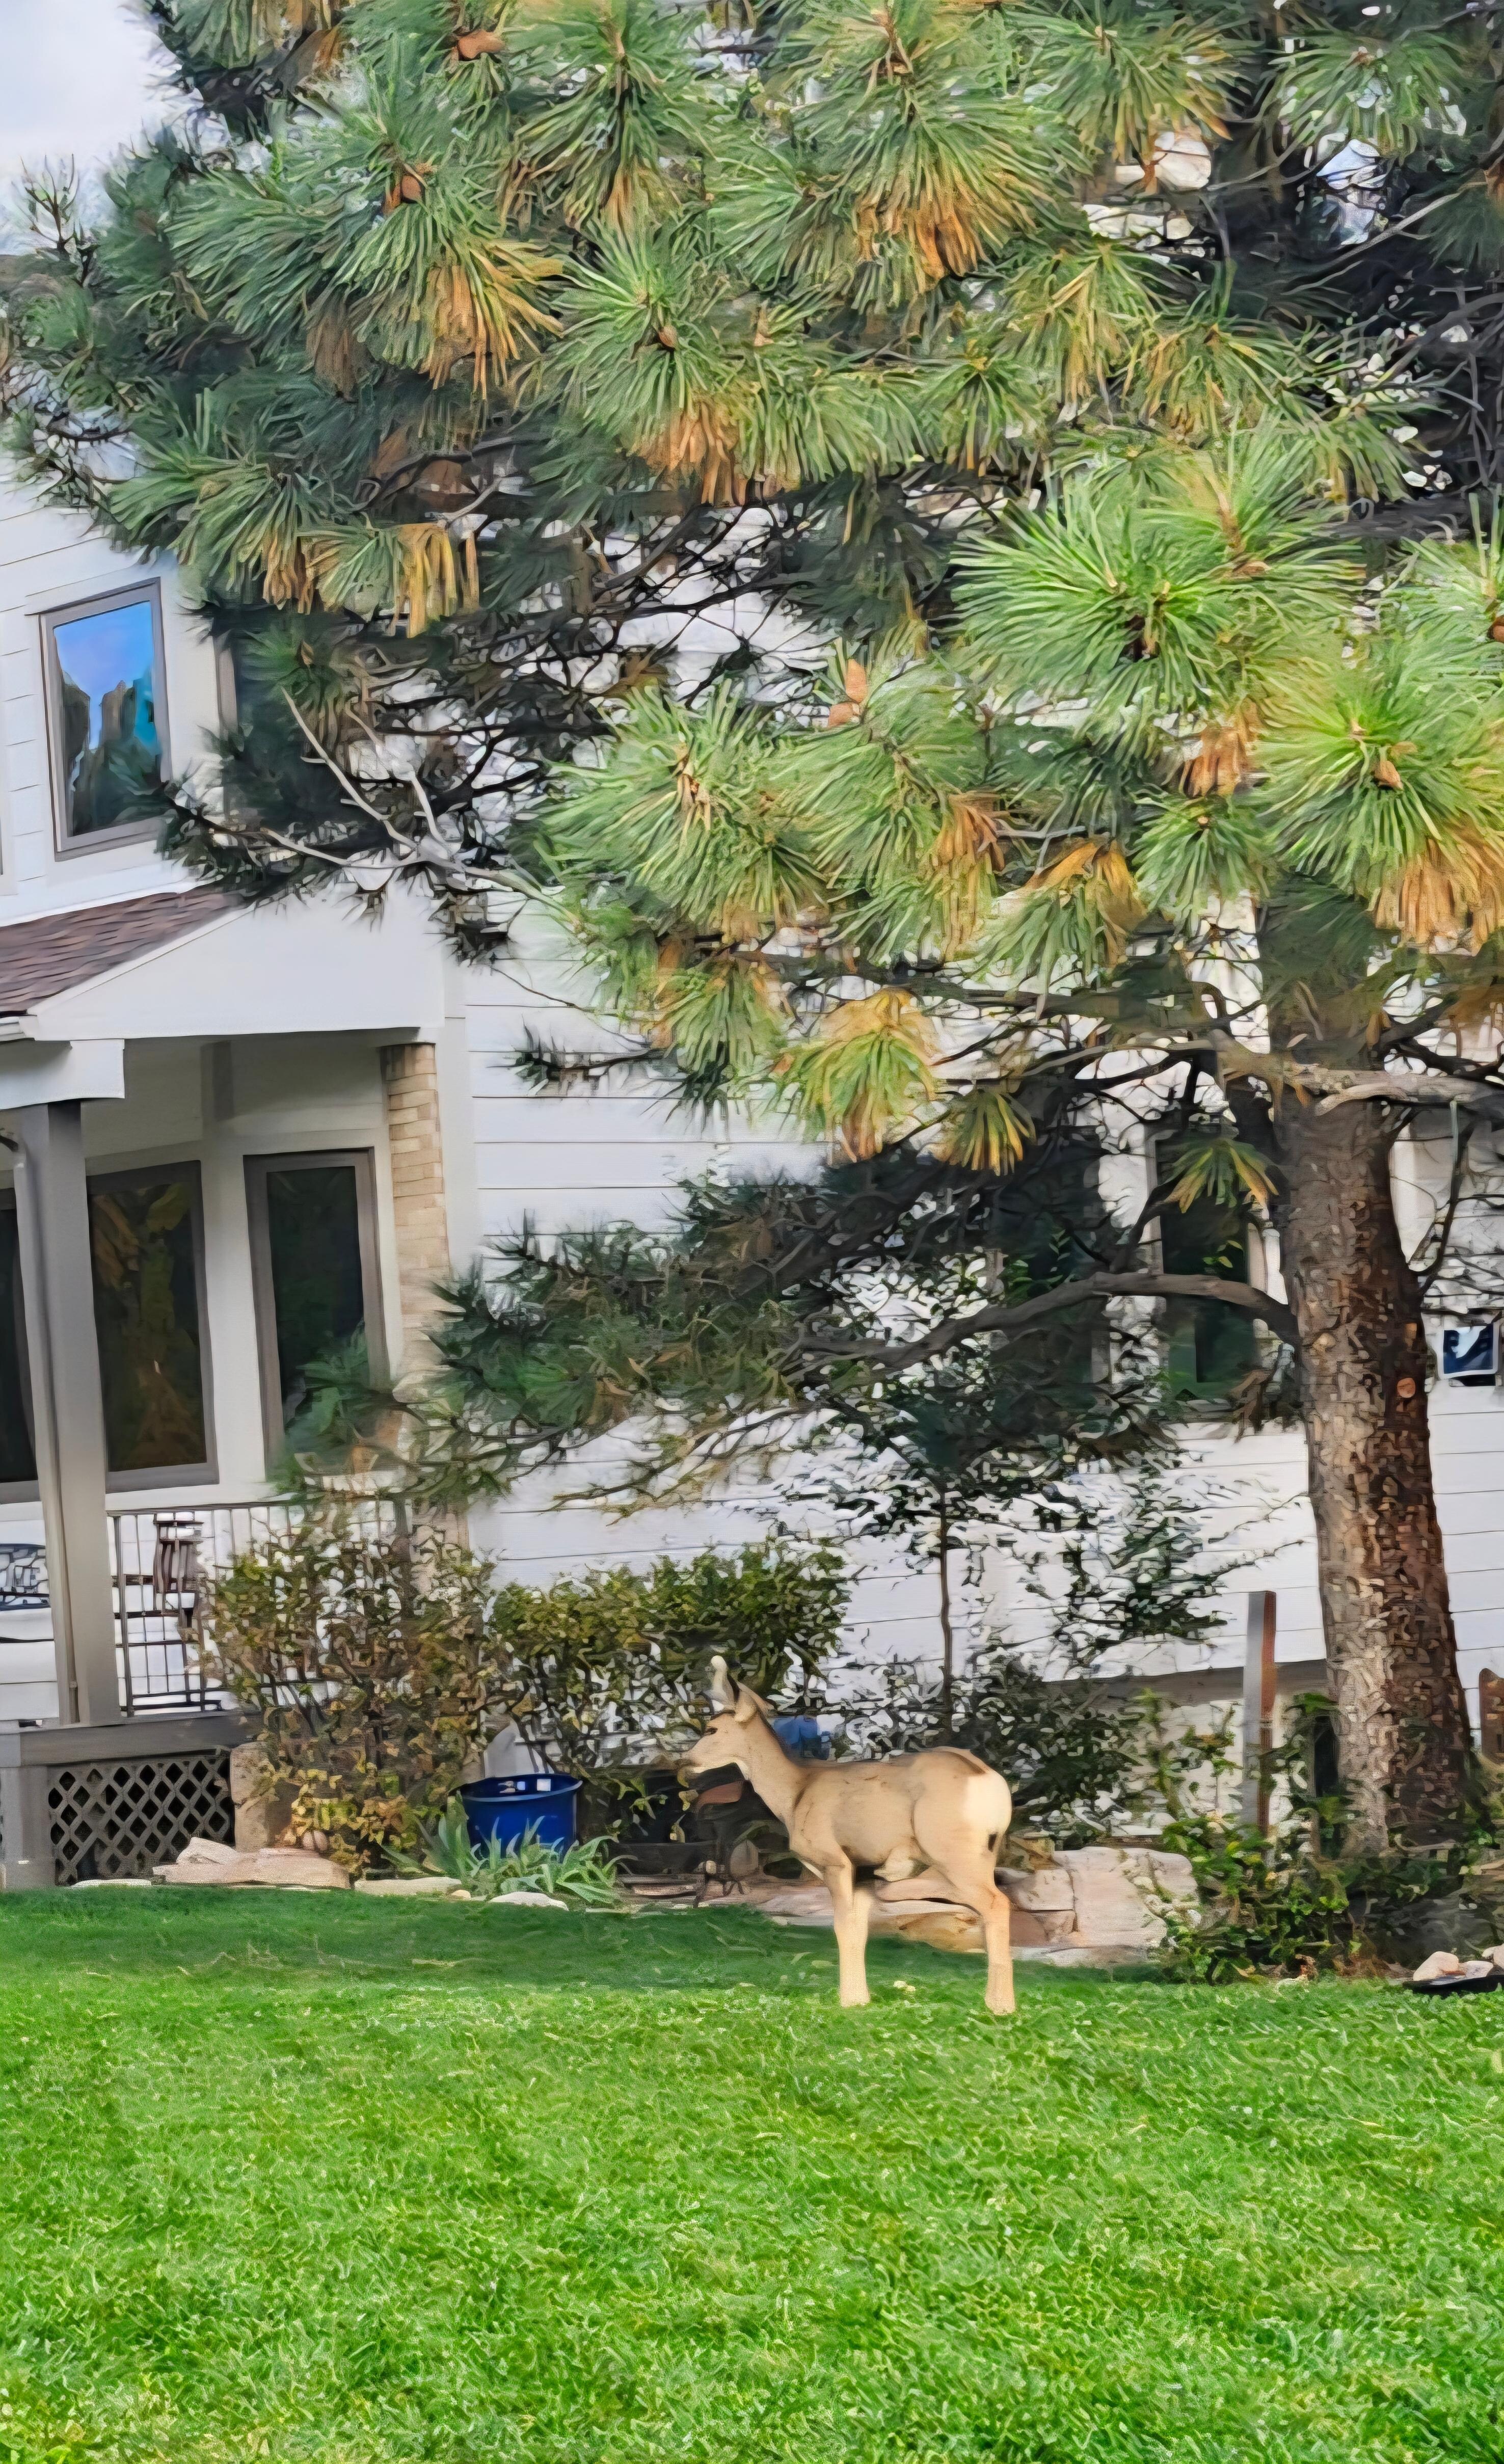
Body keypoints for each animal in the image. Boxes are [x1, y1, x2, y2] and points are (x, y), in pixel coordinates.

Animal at [680, 1658, 1015, 2015]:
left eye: (711, 1730)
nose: (685, 1764)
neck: (795, 1793)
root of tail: (989, 1780)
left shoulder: (835, 1861)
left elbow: (841, 1927)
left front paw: (847, 2001)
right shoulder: (864, 1871)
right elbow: (858, 1930)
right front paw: (859, 2000)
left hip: (953, 1852)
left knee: (995, 1903)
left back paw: (1000, 2005)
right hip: (985, 1852)